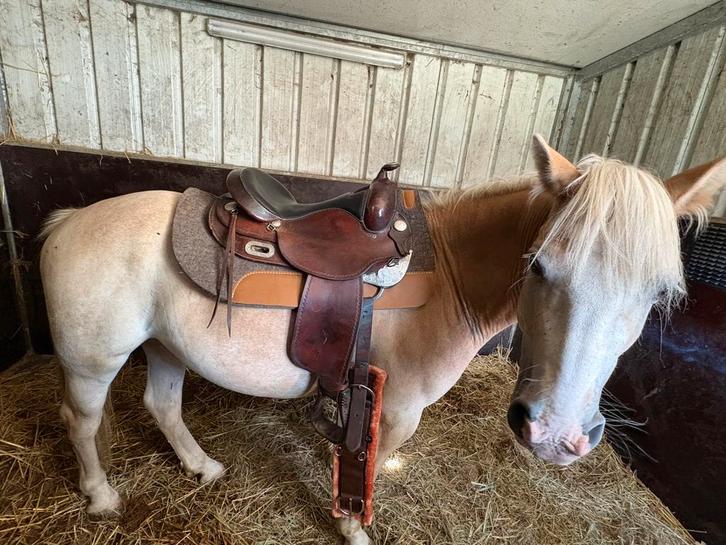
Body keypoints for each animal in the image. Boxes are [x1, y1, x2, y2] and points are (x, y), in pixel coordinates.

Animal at [39, 135, 725, 544]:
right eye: (538, 266)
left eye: (656, 294)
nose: (556, 435)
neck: (449, 273)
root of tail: (70, 220)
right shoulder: (396, 409)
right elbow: (369, 471)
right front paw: (352, 526)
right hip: (93, 360)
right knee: (80, 419)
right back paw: (101, 496)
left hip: (167, 347)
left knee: (162, 405)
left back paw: (201, 467)